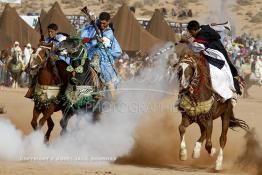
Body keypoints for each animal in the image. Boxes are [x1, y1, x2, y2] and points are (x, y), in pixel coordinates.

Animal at [175, 43, 249, 171]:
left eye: (191, 68)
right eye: (179, 69)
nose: (183, 86)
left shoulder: (209, 119)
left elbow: (209, 143)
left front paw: (212, 152)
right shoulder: (188, 116)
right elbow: (182, 128)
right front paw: (183, 154)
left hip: (225, 115)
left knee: (222, 138)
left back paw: (218, 163)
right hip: (200, 120)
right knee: (203, 132)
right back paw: (196, 151)